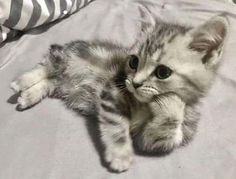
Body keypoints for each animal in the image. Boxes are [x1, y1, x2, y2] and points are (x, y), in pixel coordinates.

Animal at [9, 15, 229, 172]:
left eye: (162, 72)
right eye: (133, 61)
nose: (136, 83)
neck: (143, 104)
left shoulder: (149, 139)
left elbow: (164, 131)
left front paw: (170, 102)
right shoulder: (112, 92)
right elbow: (116, 127)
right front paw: (120, 156)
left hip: (61, 83)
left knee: (50, 81)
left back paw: (28, 96)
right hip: (65, 58)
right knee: (46, 65)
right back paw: (21, 82)